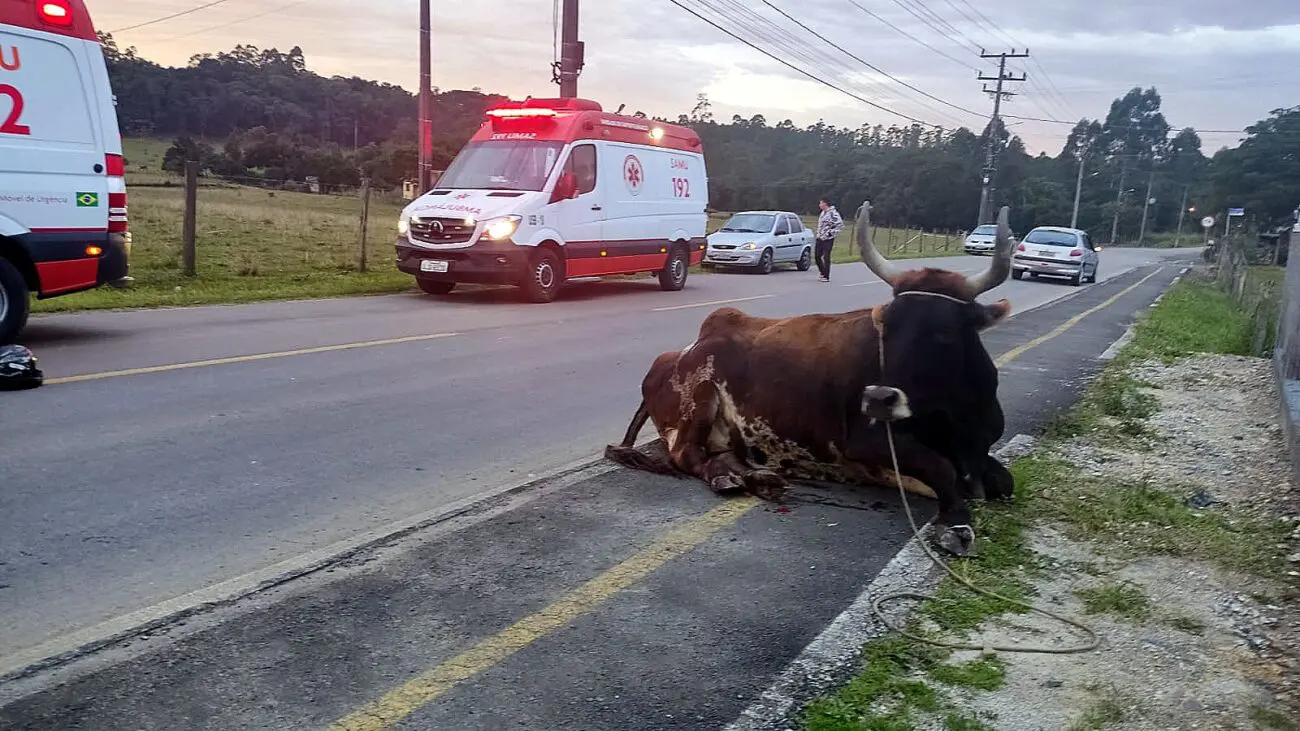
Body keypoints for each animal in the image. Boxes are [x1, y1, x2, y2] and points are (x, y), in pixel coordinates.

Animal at [603, 199, 1019, 551]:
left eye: (943, 333)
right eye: (885, 326)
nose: (877, 398)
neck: (959, 419)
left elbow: (1003, 479)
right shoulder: (868, 442)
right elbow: (942, 468)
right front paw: (955, 523)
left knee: (721, 455)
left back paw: (756, 477)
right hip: (699, 399)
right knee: (686, 454)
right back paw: (735, 478)